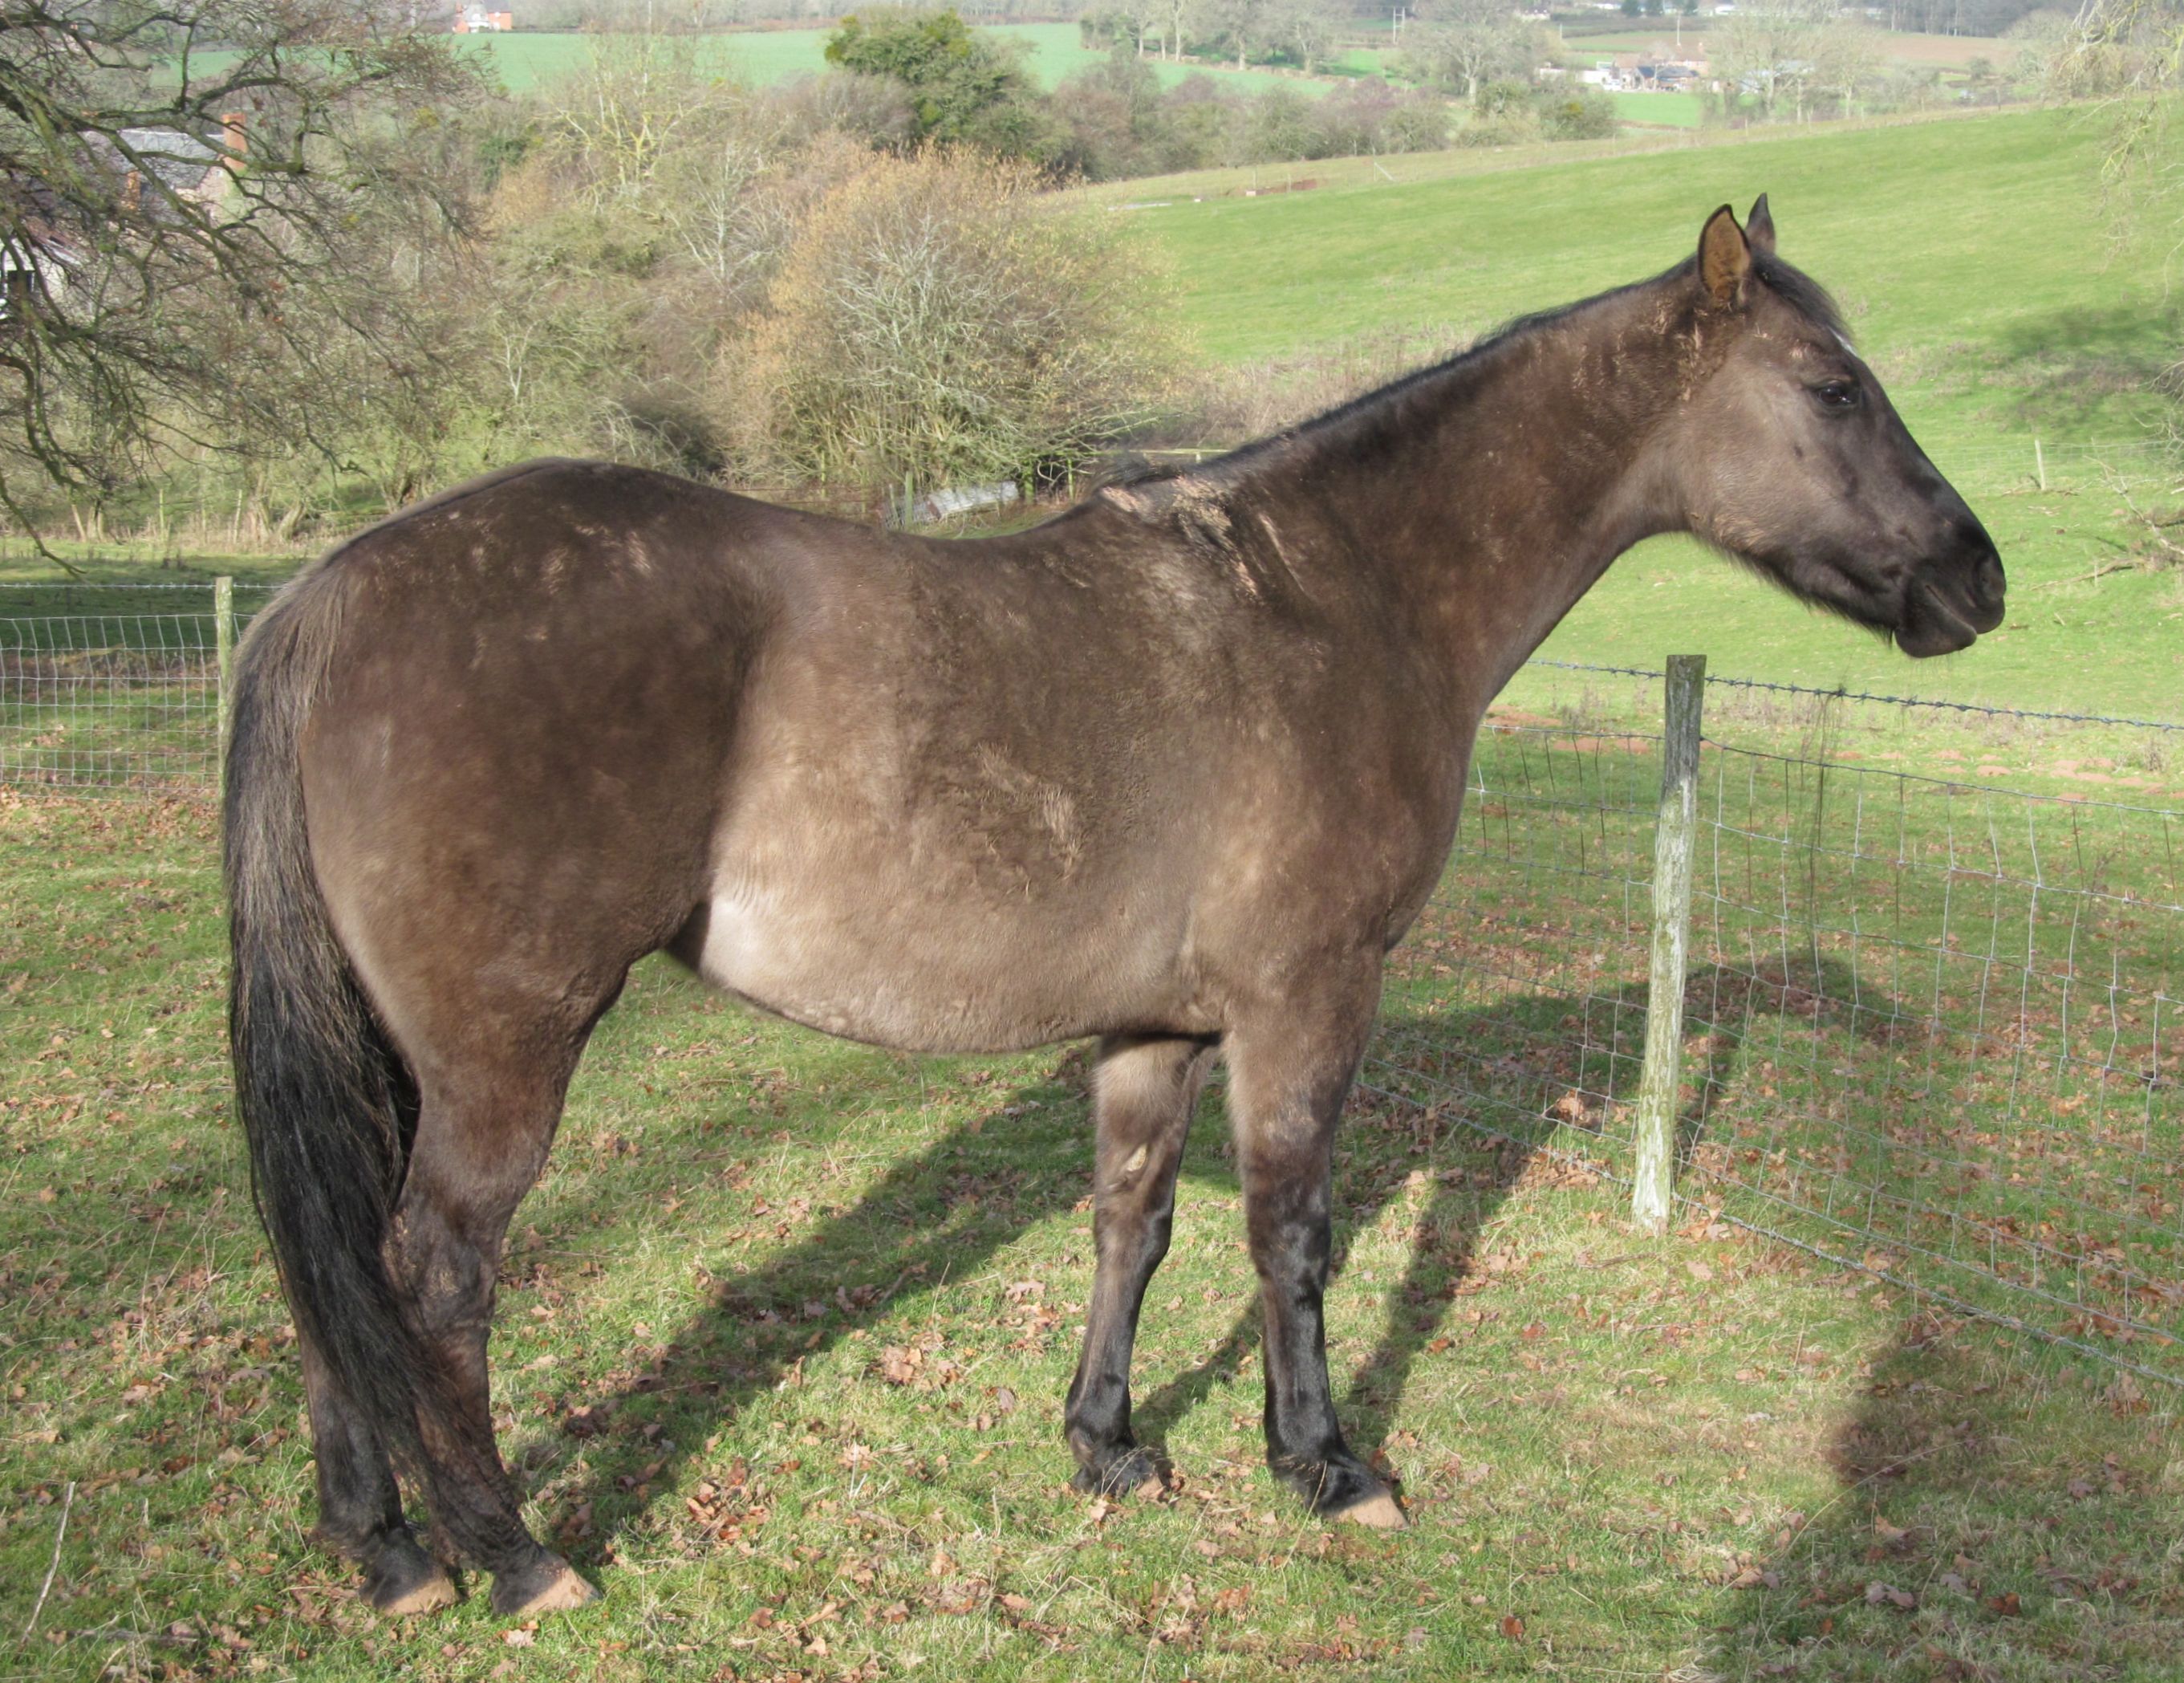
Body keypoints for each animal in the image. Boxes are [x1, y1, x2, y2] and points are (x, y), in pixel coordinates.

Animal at [221, 200, 2000, 1608]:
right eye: (1830, 386)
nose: (1976, 578)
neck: (1334, 595)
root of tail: (335, 591)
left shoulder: (1155, 1026)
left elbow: (1130, 1224)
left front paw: (1107, 1444)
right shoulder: (1305, 1000)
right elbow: (1289, 1233)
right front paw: (1325, 1464)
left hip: (391, 1057)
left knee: (329, 1263)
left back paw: (384, 1549)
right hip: (501, 1059)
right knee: (430, 1273)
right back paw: (513, 1556)